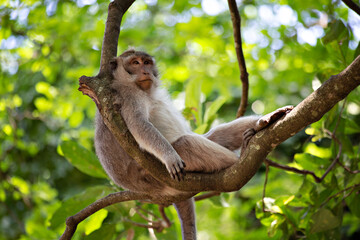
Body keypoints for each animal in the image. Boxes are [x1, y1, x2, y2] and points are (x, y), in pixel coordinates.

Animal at [94, 49, 294, 240]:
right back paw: (240, 157)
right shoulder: (128, 97)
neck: (141, 89)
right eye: (135, 63)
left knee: (210, 136)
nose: (145, 71)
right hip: (155, 174)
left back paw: (265, 121)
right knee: (185, 142)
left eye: (147, 62)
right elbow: (138, 124)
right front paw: (169, 156)